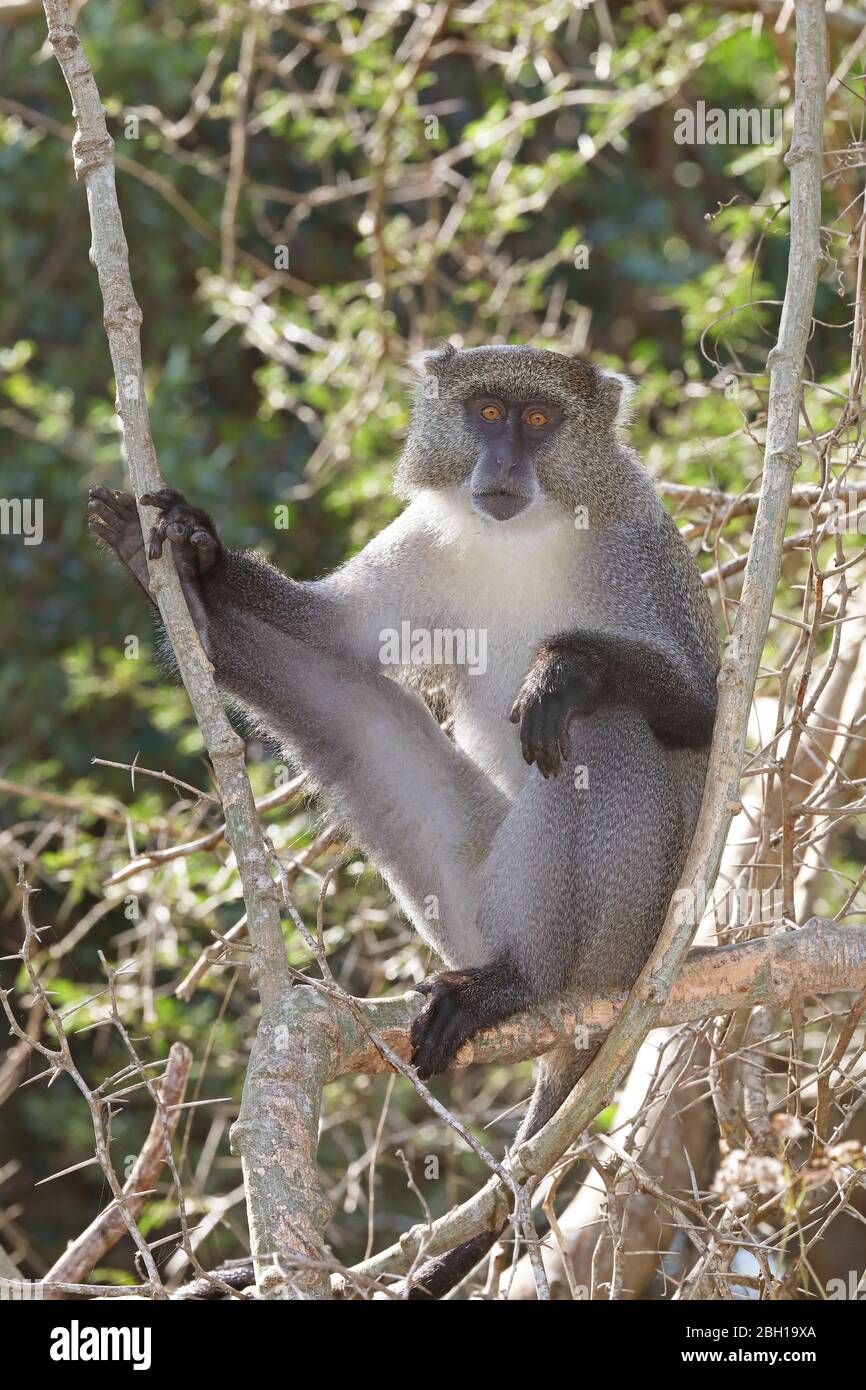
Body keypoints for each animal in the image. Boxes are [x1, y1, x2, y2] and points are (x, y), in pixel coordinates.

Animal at [89, 344, 717, 1289]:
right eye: (487, 412)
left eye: (540, 421)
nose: (503, 466)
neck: (524, 539)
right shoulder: (424, 542)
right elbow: (334, 636)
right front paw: (193, 555)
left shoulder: (643, 547)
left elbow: (710, 712)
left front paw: (570, 664)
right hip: (466, 897)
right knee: (354, 706)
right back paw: (180, 597)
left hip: (621, 935)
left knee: (599, 727)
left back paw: (522, 982)